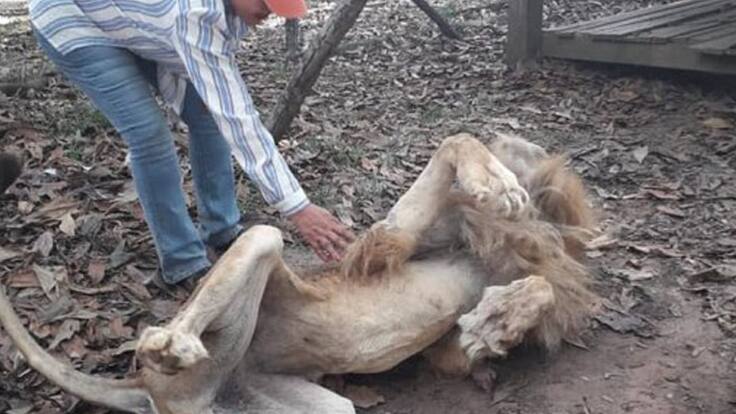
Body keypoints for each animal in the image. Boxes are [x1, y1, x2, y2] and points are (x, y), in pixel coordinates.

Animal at [0, 133, 598, 414]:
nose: (524, 157)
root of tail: (147, 387)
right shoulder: (383, 244)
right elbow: (456, 142)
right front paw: (496, 186)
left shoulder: (445, 350)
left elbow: (531, 295)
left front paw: (493, 323)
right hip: (261, 245)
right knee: (173, 324)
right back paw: (169, 345)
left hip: (312, 407)